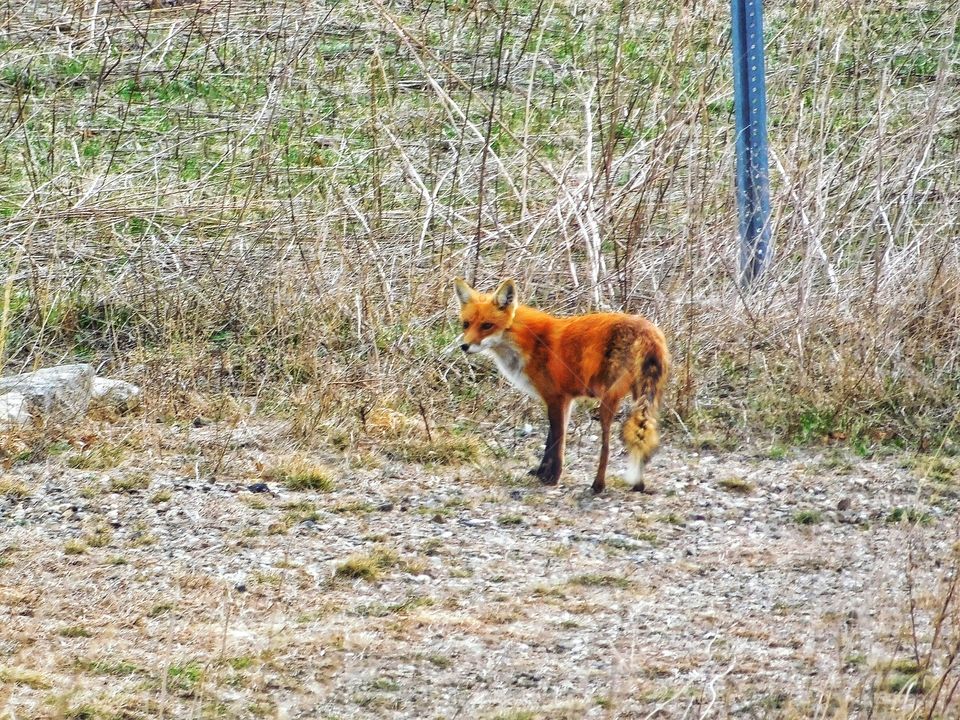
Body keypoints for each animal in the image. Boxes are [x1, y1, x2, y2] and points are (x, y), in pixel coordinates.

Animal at [454, 277, 670, 494]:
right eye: (466, 324)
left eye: (487, 325)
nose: (464, 346)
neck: (531, 342)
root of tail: (647, 329)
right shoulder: (565, 400)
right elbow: (552, 440)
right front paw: (541, 473)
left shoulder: (556, 397)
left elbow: (556, 442)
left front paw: (552, 478)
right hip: (643, 397)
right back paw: (639, 485)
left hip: (608, 401)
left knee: (607, 445)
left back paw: (598, 485)